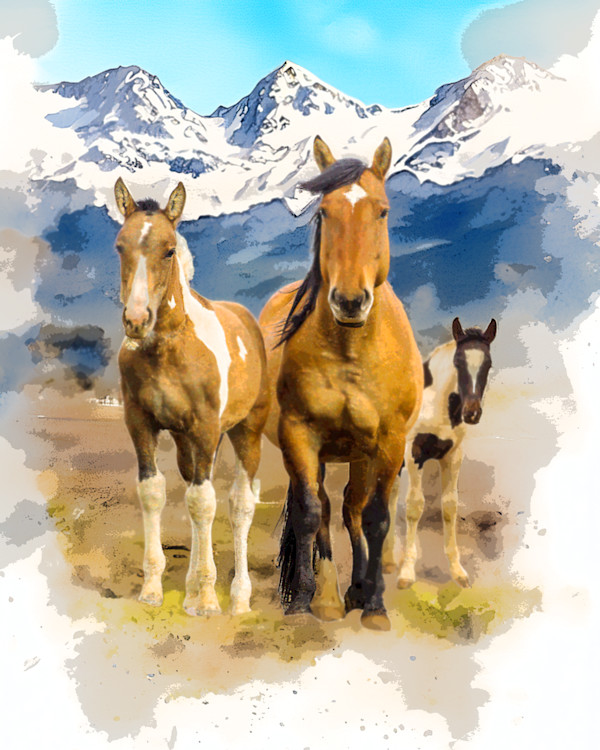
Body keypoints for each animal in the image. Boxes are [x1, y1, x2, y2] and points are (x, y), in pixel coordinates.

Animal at [114, 178, 269, 616]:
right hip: (189, 443)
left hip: (246, 432)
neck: (166, 347)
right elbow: (156, 492)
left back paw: (238, 597)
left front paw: (205, 599)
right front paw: (153, 589)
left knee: (238, 503)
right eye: (120, 245)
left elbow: (205, 503)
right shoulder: (141, 425)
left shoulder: (205, 428)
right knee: (202, 495)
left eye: (168, 249)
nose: (136, 321)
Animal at [259, 136, 423, 631]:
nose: (350, 301)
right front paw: (302, 601)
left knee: (352, 509)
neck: (351, 352)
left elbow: (375, 518)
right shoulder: (300, 435)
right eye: (324, 212)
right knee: (328, 508)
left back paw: (356, 591)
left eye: (382, 211)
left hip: (361, 454)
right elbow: (311, 514)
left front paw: (374, 605)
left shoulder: (388, 442)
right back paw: (330, 597)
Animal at [381, 316, 497, 588]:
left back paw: (388, 560)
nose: (472, 413)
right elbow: (414, 507)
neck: (435, 402)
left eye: (488, 363)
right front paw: (407, 573)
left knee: (390, 496)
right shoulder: (414, 454)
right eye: (458, 362)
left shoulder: (452, 457)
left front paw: (458, 571)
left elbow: (449, 507)